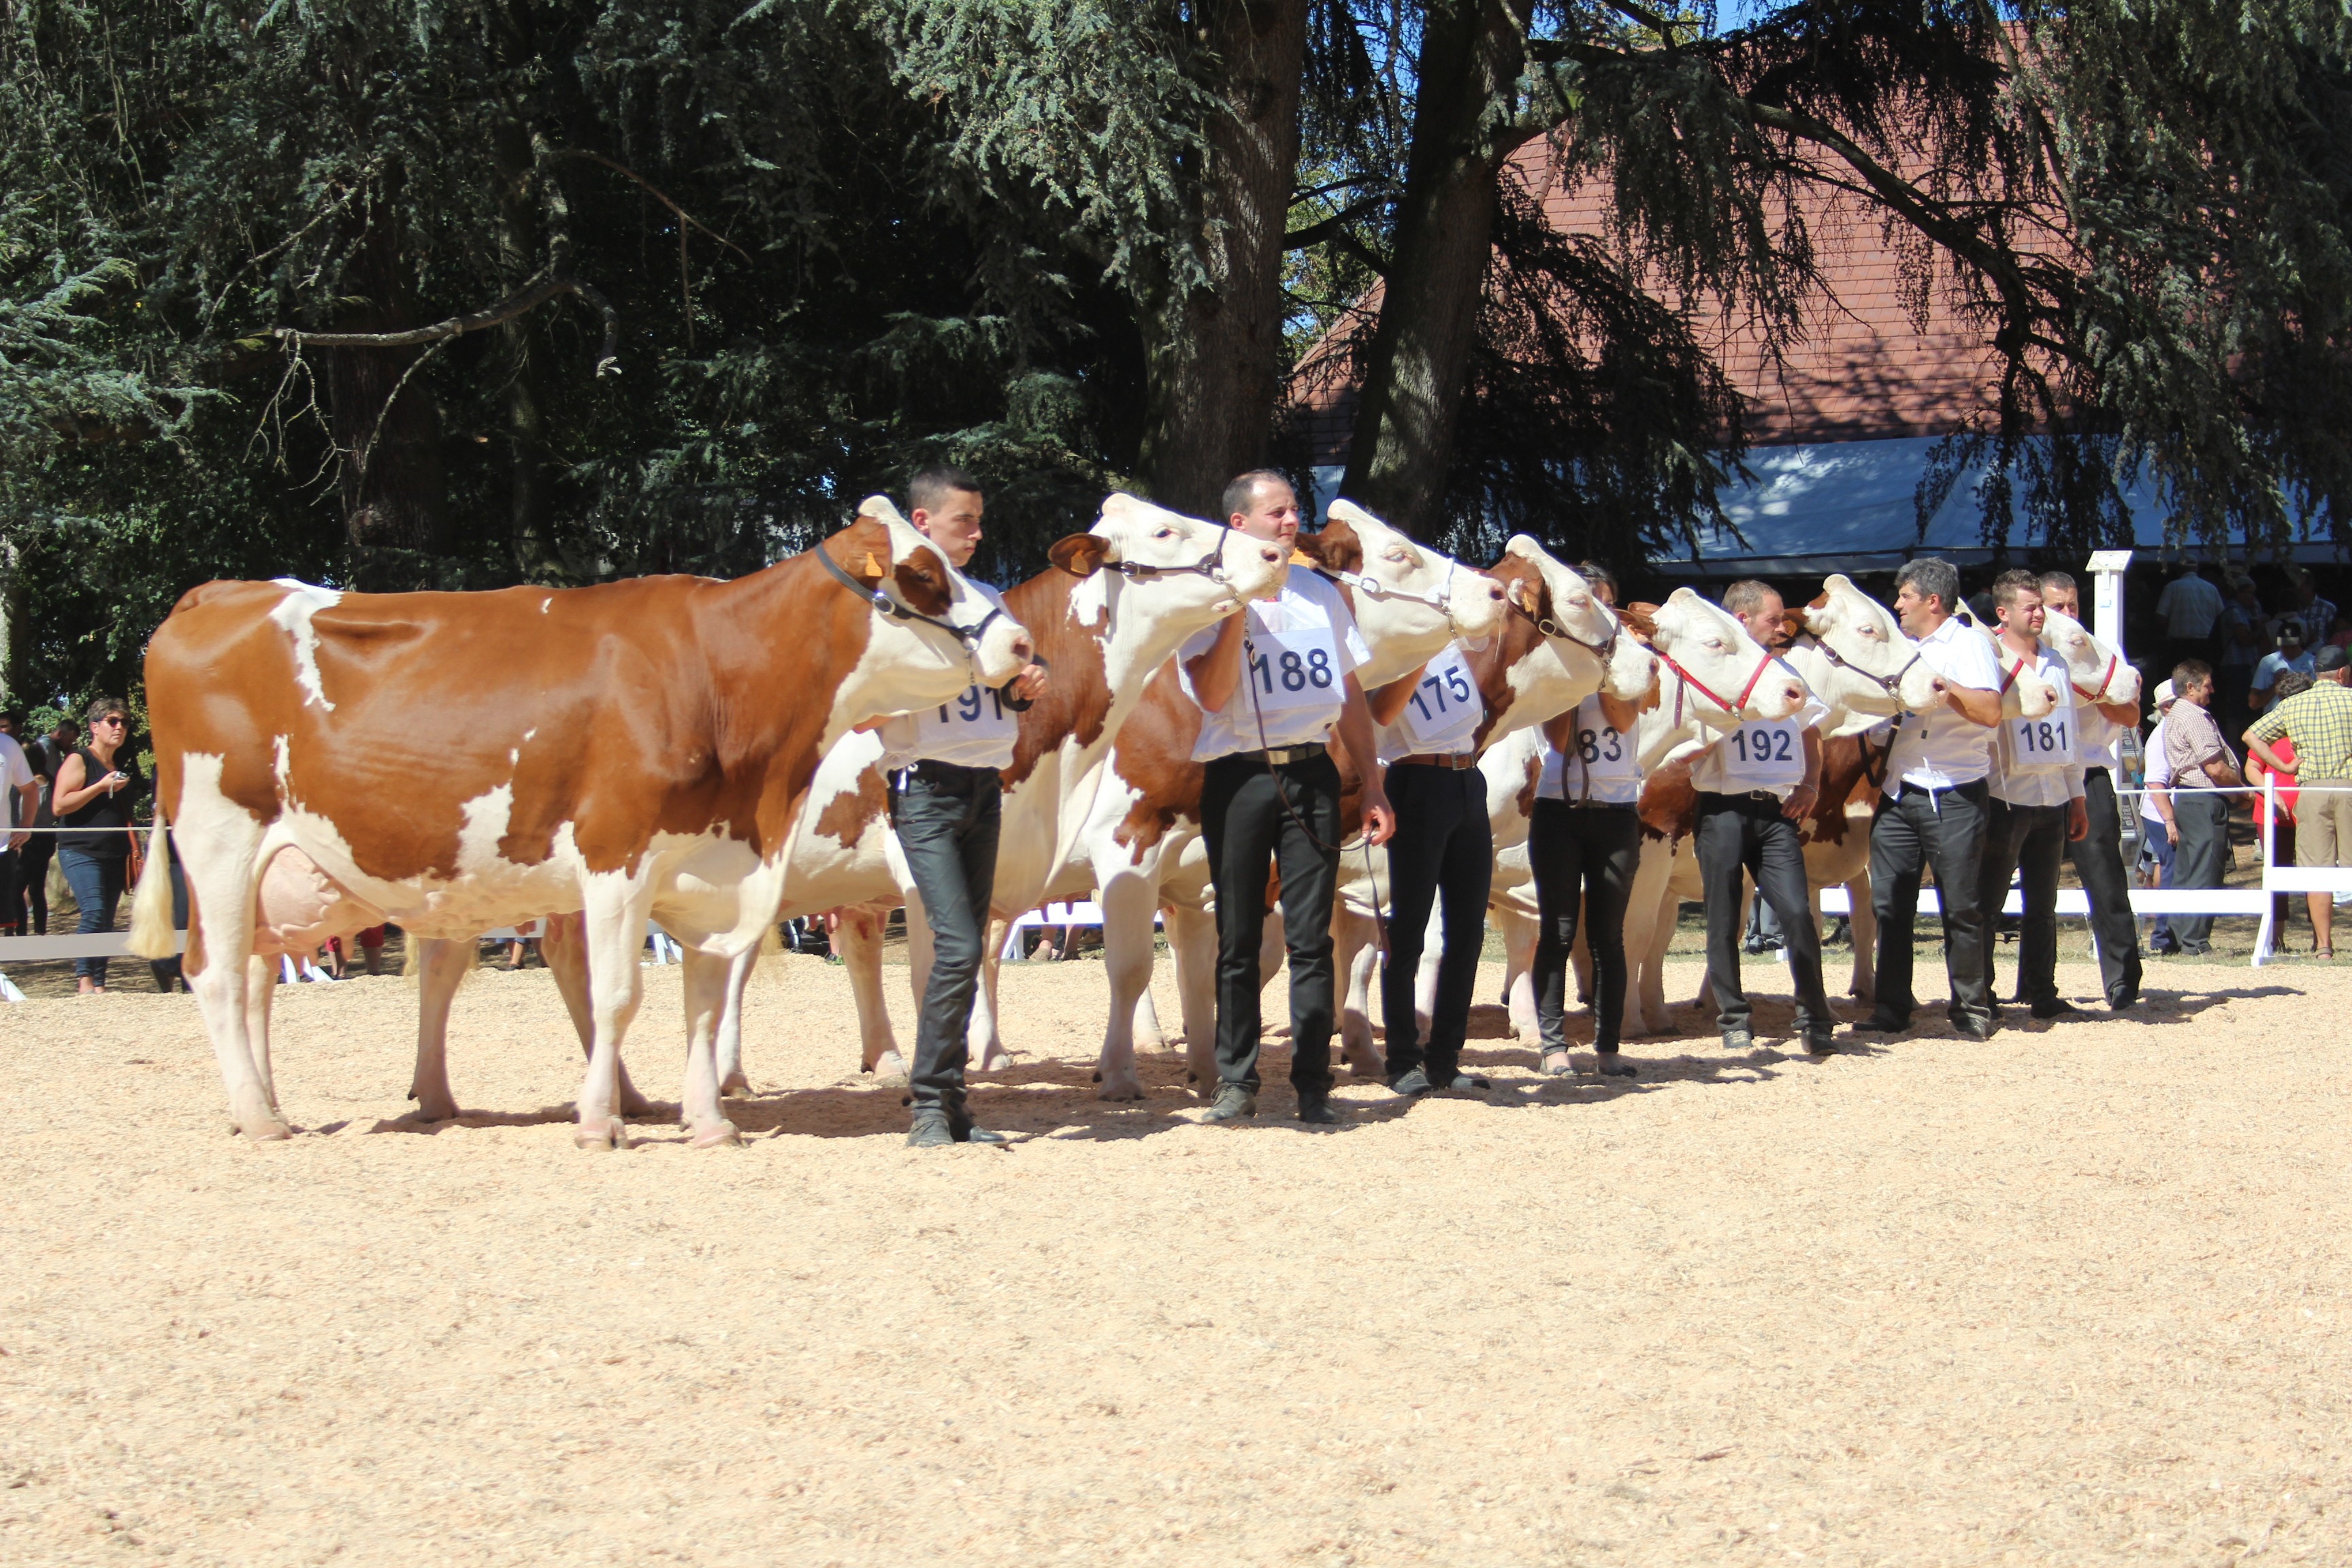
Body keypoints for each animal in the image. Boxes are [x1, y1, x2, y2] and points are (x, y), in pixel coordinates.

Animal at [129, 505, 1030, 1152]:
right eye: (923, 573)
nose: (1021, 642)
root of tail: (219, 593)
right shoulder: (615, 856)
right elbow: (618, 993)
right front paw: (600, 1123)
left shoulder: (713, 868)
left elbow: (704, 998)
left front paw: (708, 1122)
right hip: (219, 840)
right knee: (214, 973)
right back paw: (262, 1118)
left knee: (253, 977)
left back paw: (266, 1103)